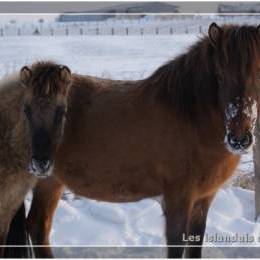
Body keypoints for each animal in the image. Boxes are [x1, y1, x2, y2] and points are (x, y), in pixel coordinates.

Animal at [21, 22, 260, 258]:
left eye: (258, 72)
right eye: (219, 76)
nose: (239, 138)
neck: (190, 118)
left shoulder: (203, 199)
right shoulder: (178, 197)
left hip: (51, 181)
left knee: (38, 226)